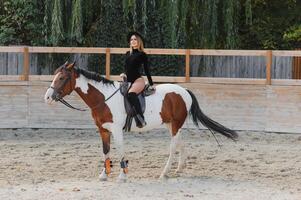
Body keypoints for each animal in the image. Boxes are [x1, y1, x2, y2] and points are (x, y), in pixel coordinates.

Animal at [44, 62, 237, 181]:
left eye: (62, 78)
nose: (47, 97)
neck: (104, 98)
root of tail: (184, 90)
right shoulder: (103, 129)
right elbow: (106, 151)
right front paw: (104, 174)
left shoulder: (116, 130)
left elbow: (120, 149)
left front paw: (122, 175)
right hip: (172, 124)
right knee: (180, 143)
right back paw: (179, 169)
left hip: (175, 125)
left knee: (173, 147)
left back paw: (164, 173)